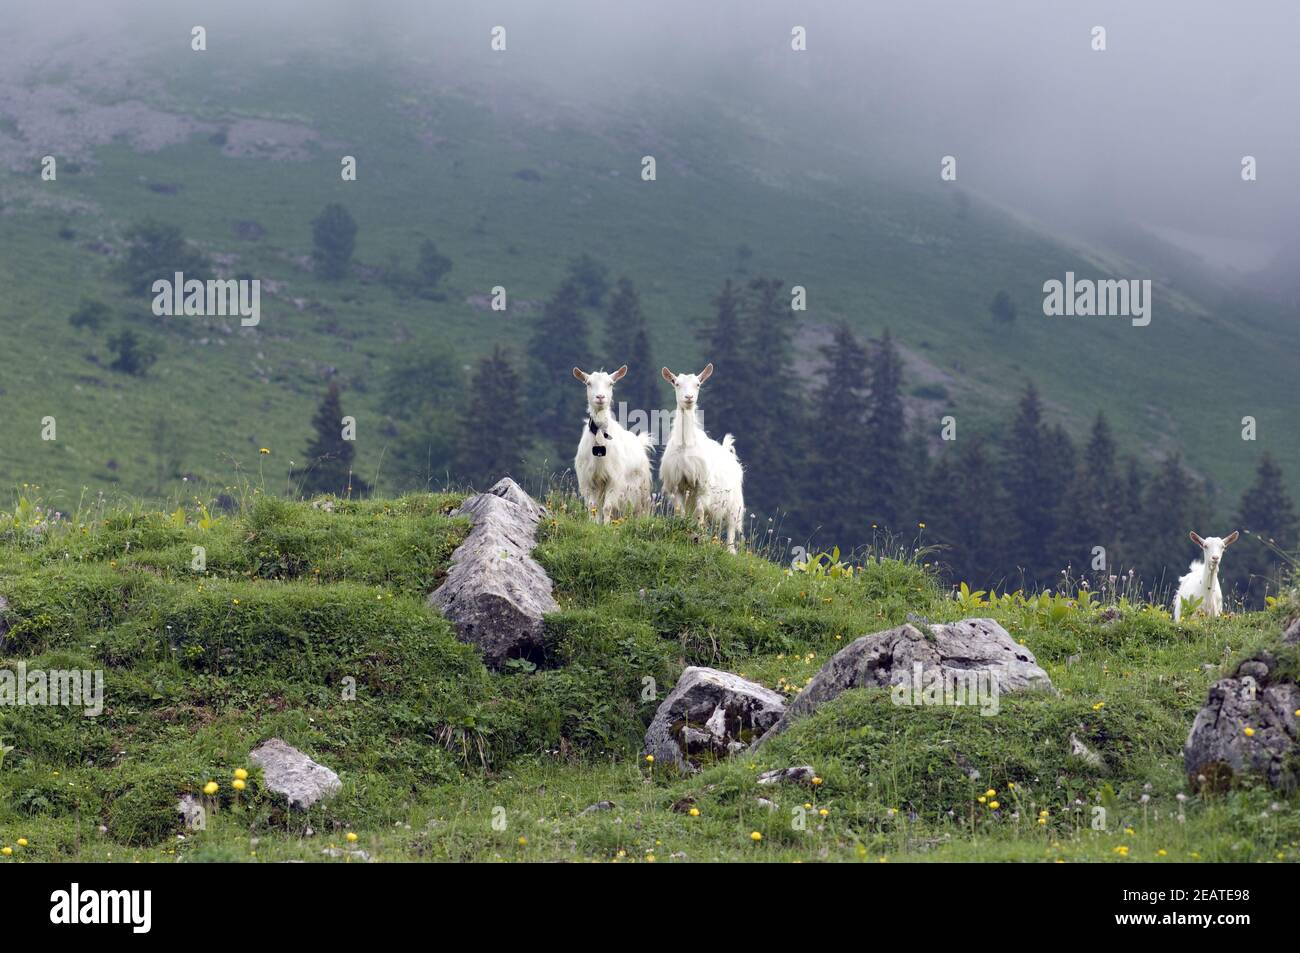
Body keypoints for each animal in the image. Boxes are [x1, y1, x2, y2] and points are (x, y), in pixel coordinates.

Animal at [572, 365, 654, 523]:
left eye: (610, 383)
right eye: (588, 383)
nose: (600, 397)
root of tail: (640, 442)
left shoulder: (614, 479)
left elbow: (607, 507)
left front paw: (606, 526)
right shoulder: (589, 479)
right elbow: (592, 507)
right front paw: (593, 524)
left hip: (640, 489)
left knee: (640, 509)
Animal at [659, 364, 745, 553]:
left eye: (698, 384)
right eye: (676, 383)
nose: (689, 397)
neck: (685, 447)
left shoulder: (702, 486)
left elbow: (699, 513)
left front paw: (700, 538)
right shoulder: (677, 484)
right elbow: (681, 512)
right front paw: (685, 532)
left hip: (733, 501)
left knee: (731, 526)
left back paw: (730, 550)